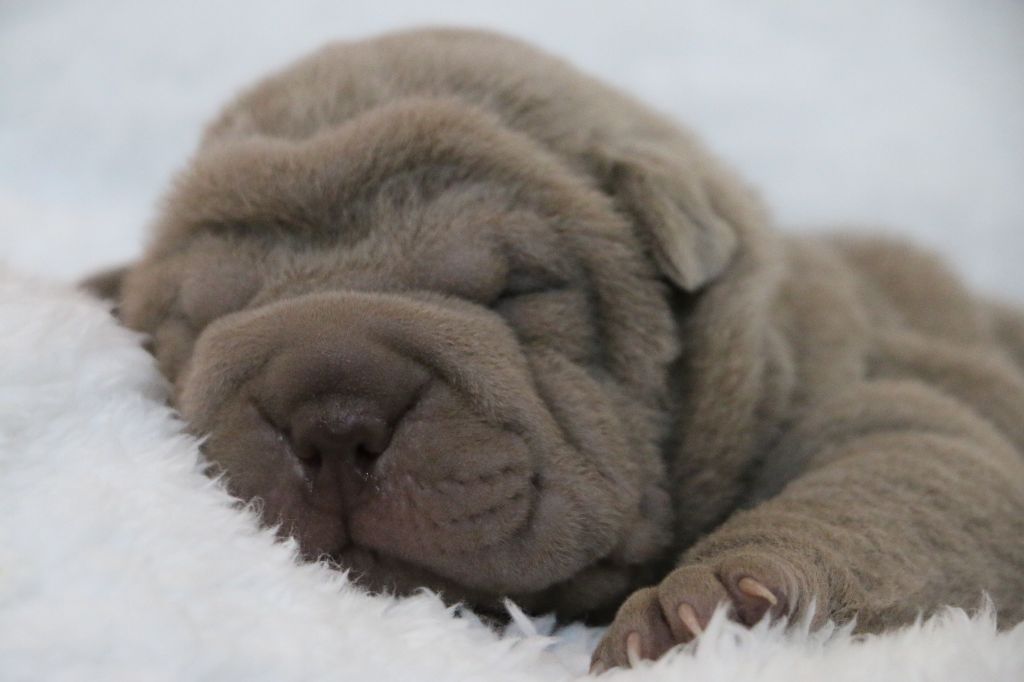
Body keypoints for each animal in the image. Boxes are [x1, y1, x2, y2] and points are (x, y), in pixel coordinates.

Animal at [86, 26, 1024, 667]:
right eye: (199, 316)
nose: (331, 417)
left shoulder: (870, 380)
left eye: (517, 291)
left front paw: (718, 606)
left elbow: (910, 471)